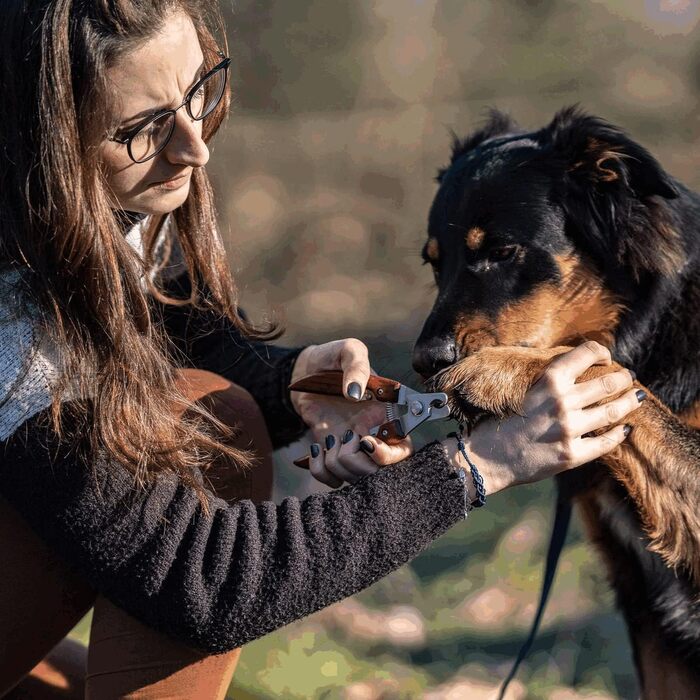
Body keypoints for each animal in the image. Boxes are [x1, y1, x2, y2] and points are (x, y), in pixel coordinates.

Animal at [412, 105, 700, 700]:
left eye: (501, 252)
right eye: (433, 263)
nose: (424, 362)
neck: (650, 329)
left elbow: (605, 369)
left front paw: (494, 372)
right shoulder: (643, 604)